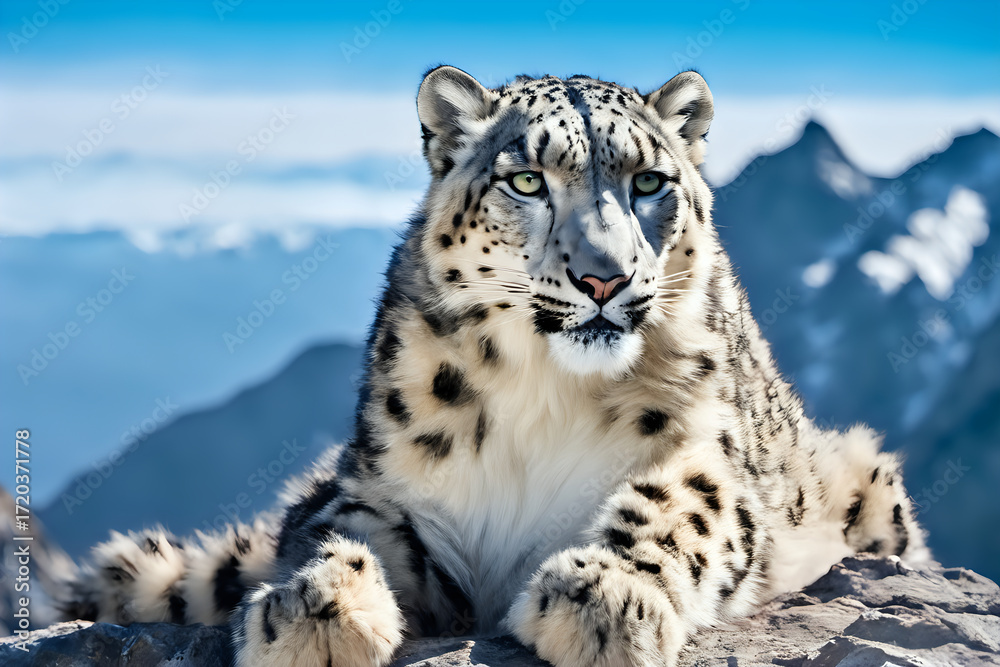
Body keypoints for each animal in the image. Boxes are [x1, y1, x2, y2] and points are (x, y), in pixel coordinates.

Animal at [57, 66, 929, 667]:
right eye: (526, 179)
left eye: (649, 181)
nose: (606, 277)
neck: (546, 388)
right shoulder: (383, 484)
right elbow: (337, 531)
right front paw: (315, 609)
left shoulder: (710, 452)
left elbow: (680, 505)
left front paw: (607, 594)